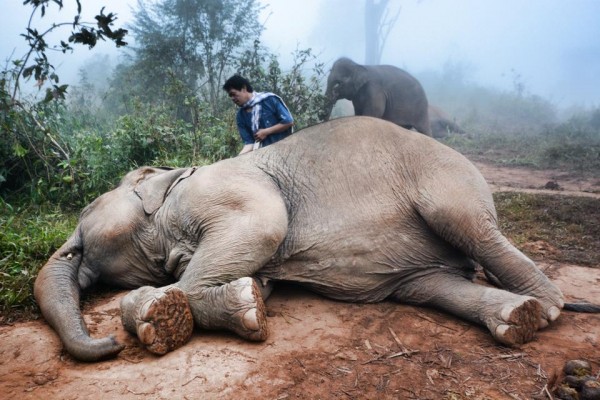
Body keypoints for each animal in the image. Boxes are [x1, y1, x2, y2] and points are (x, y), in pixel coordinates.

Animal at [34, 115, 580, 362]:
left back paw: (548, 307)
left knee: (469, 225)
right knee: (433, 287)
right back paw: (518, 318)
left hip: (448, 181)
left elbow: (262, 224)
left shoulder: (223, 188)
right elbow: (247, 271)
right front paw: (250, 298)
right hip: (422, 270)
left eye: (82, 220)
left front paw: (157, 313)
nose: (107, 344)